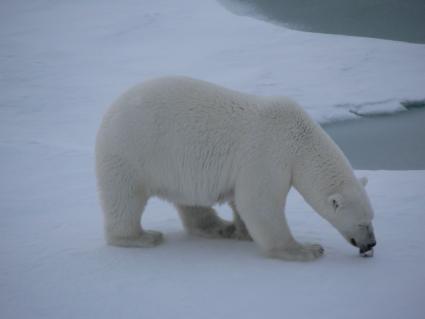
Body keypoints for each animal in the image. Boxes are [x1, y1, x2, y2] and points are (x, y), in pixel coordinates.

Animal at [95, 76, 374, 262]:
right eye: (361, 223)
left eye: (372, 218)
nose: (371, 243)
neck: (299, 139)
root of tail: (109, 113)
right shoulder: (268, 153)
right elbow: (259, 202)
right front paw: (307, 249)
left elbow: (242, 202)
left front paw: (243, 231)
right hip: (132, 151)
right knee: (125, 197)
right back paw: (142, 237)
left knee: (191, 202)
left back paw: (220, 227)